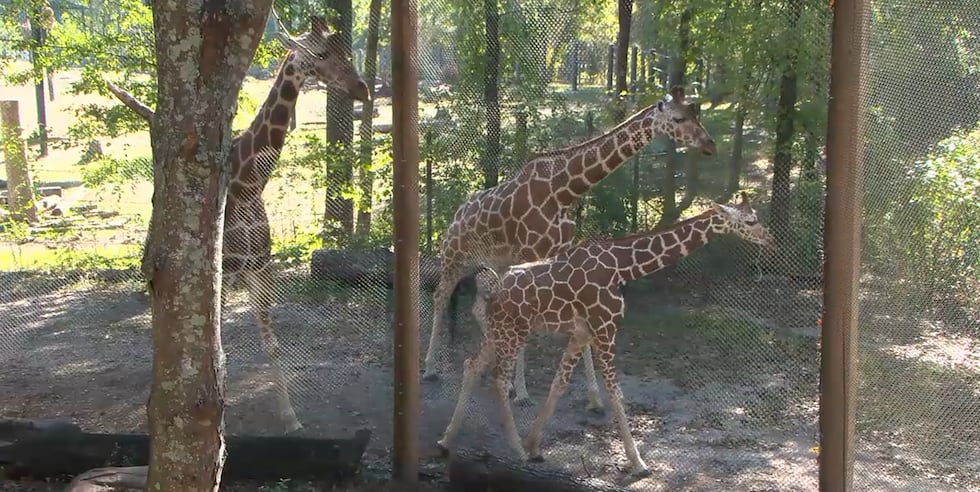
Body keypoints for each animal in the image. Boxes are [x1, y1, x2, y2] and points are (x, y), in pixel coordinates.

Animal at [105, 16, 370, 432]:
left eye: (345, 51)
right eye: (321, 54)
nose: (362, 89)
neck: (250, 182)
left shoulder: (258, 268)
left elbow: (270, 345)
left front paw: (290, 418)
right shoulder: (223, 272)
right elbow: (217, 355)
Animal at [423, 86, 717, 410]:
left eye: (695, 112)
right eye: (678, 119)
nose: (709, 145)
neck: (563, 191)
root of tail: (456, 214)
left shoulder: (559, 254)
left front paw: (594, 397)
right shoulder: (530, 254)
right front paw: (521, 392)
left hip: (493, 263)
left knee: (478, 306)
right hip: (453, 257)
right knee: (440, 297)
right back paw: (431, 368)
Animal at [436, 192, 775, 476]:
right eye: (750, 221)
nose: (769, 238)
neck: (623, 266)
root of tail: (494, 290)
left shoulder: (582, 333)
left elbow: (560, 383)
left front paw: (535, 445)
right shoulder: (605, 326)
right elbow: (615, 391)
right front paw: (638, 462)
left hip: (499, 331)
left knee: (471, 365)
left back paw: (447, 439)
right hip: (513, 332)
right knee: (498, 379)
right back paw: (514, 449)